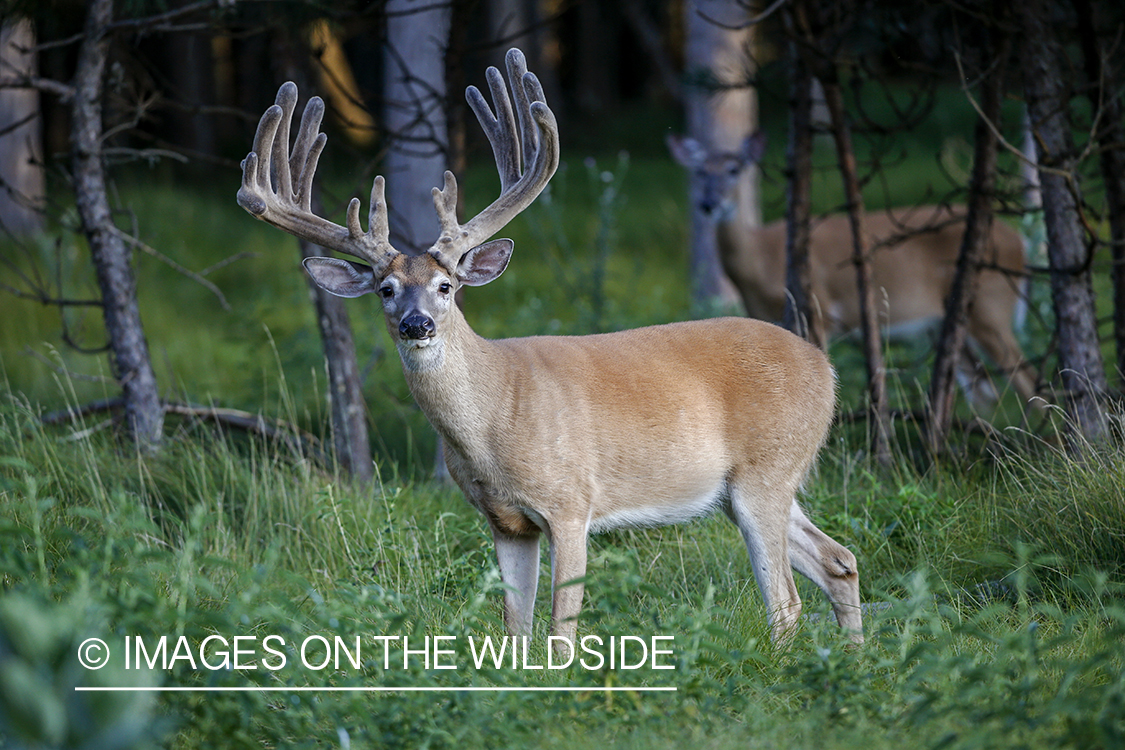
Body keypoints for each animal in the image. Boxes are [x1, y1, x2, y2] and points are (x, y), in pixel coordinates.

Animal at [232, 51, 855, 652]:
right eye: (385, 289)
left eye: (446, 286)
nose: (416, 324)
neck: (494, 421)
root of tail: (824, 368)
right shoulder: (505, 521)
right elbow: (516, 628)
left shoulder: (571, 502)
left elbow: (560, 632)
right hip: (747, 487)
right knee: (839, 559)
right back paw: (850, 657)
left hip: (765, 470)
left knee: (786, 599)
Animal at [666, 132, 1035, 407]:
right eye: (699, 171)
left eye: (734, 169)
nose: (710, 204)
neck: (760, 260)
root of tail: (1021, 241)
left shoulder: (820, 311)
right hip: (949, 322)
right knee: (983, 389)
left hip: (991, 306)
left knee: (1024, 378)